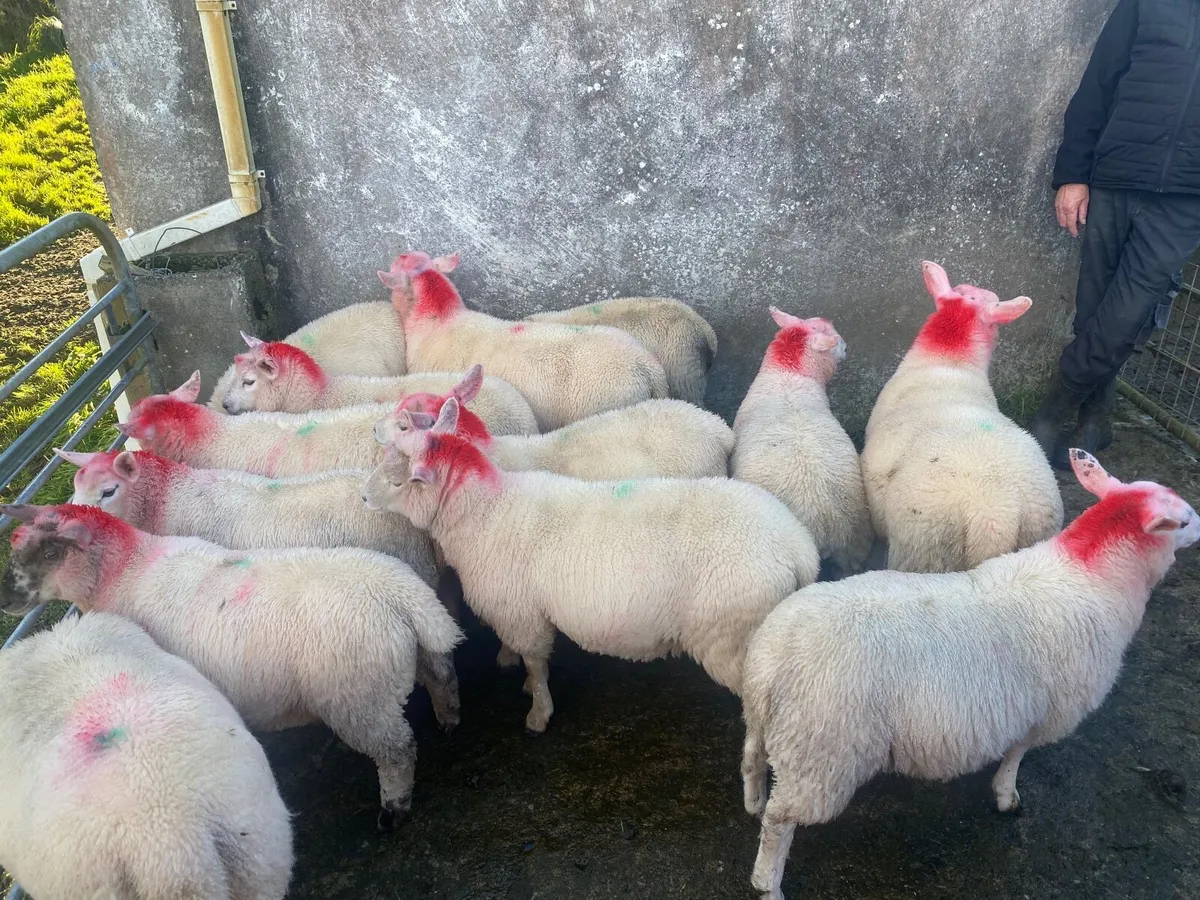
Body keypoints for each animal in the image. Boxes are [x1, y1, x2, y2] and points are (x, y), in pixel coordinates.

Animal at [0, 503, 464, 831]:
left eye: (52, 550)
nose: (6, 598)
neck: (127, 569)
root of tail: (399, 593)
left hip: (357, 699)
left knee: (397, 751)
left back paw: (394, 809)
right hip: (414, 657)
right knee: (443, 676)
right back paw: (449, 721)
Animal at [363, 398, 819, 734]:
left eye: (401, 480)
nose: (363, 496)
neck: (486, 509)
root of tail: (797, 547)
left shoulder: (521, 612)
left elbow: (535, 662)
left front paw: (537, 713)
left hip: (732, 635)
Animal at [739, 449, 1199, 900]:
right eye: (1184, 520)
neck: (1093, 575)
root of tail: (773, 660)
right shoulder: (1044, 711)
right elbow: (1017, 754)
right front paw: (1006, 797)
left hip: (774, 728)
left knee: (752, 761)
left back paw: (753, 801)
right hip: (822, 755)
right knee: (780, 822)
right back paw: (767, 883)